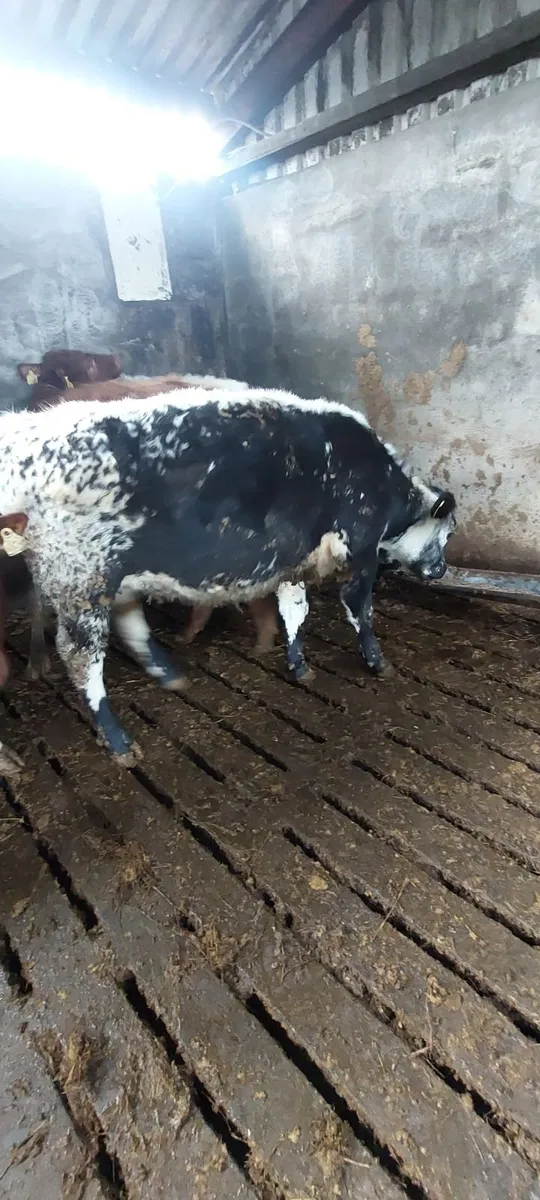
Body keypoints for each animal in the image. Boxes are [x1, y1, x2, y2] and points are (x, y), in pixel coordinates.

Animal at [0, 388, 456, 765]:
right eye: (447, 533)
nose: (441, 569)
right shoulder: (360, 553)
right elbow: (360, 612)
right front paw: (378, 663)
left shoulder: (291, 560)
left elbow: (295, 612)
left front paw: (298, 665)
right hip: (81, 582)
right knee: (82, 659)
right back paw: (120, 743)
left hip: (115, 578)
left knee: (131, 626)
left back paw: (170, 676)